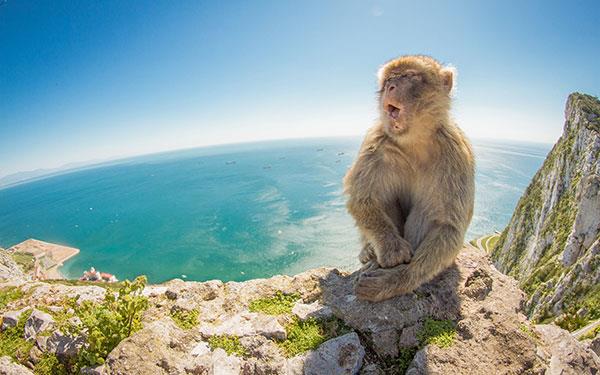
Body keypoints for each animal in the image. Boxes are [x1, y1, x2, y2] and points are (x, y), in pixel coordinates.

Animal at [344, 55, 476, 302]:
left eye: (409, 76)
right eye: (389, 79)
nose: (390, 87)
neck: (414, 141)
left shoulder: (455, 154)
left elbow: (448, 226)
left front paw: (397, 279)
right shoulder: (375, 143)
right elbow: (362, 199)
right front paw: (391, 248)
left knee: (427, 211)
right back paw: (370, 251)